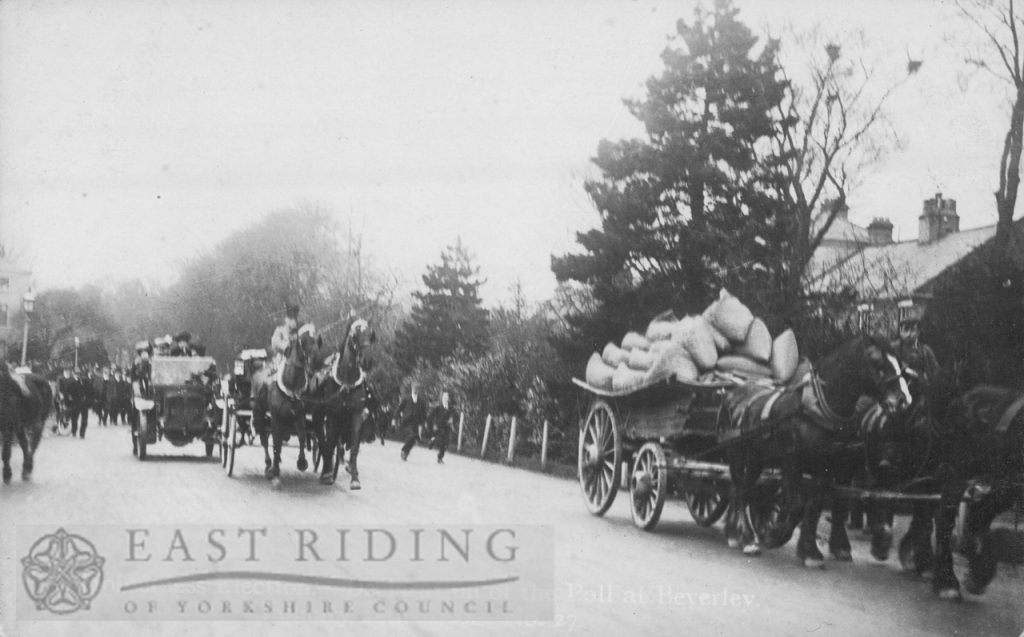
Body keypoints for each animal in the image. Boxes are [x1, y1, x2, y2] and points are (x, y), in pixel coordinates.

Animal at [248, 331, 319, 487]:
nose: (312, 368)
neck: (290, 387)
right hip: (259, 412)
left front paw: (302, 462)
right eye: (302, 342)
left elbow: (302, 436)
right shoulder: (276, 417)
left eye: (316, 342)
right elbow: (276, 442)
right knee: (264, 439)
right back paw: (269, 464)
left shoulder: (298, 416)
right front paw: (274, 472)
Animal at [311, 317, 380, 489]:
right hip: (319, 416)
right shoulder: (332, 415)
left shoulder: (357, 415)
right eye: (354, 335)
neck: (346, 382)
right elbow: (329, 443)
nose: (367, 360)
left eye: (371, 335)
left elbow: (354, 446)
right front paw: (327, 473)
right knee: (323, 441)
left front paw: (354, 477)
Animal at [720, 337, 913, 565]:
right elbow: (796, 505)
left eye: (900, 364)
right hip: (738, 456)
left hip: (756, 459)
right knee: (741, 490)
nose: (903, 400)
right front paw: (774, 535)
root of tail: (732, 395)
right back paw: (747, 539)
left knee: (742, 489)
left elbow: (815, 506)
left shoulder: (826, 466)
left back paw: (735, 534)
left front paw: (810, 551)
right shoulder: (791, 460)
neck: (815, 408)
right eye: (878, 364)